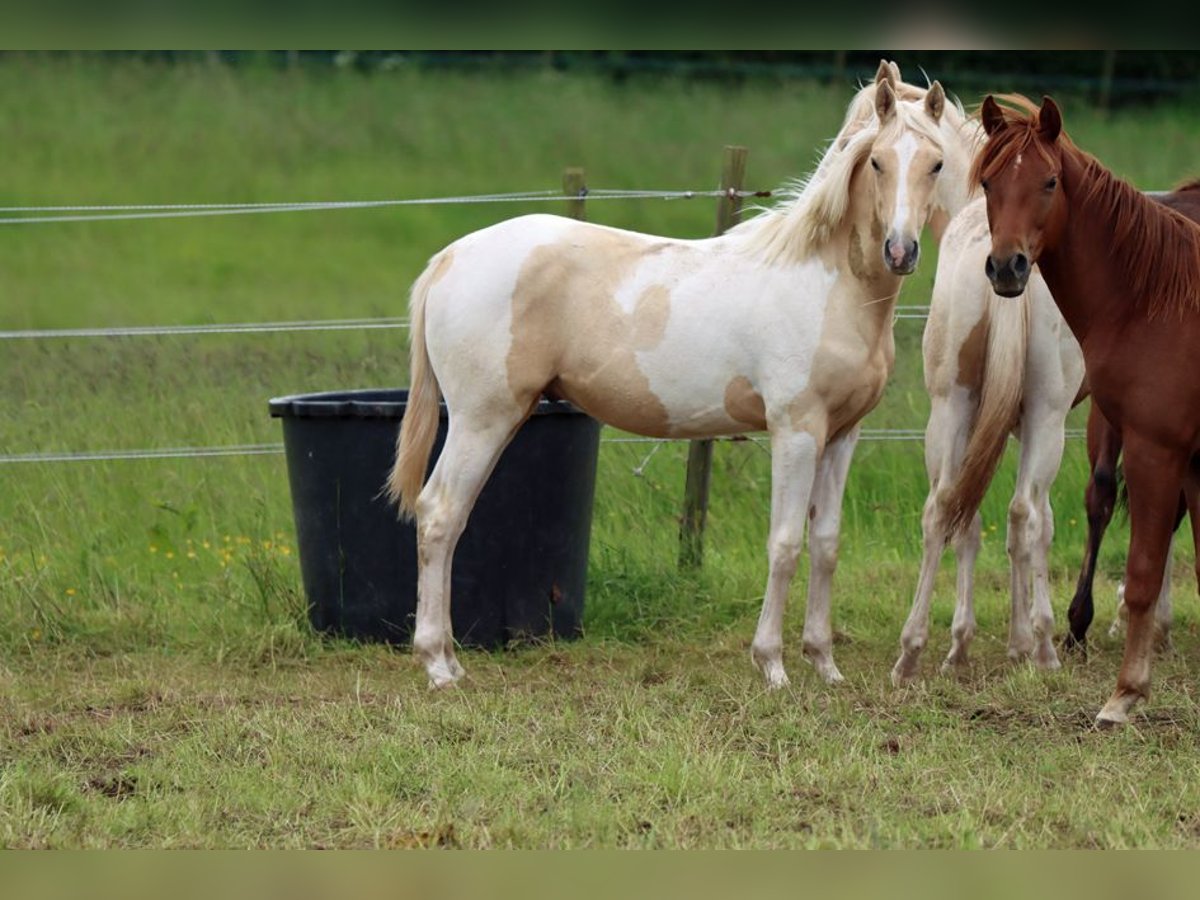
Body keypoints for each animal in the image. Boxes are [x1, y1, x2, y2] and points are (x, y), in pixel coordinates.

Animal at [388, 63, 969, 686]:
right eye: (879, 161)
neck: (825, 281)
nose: (901, 251)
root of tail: (450, 258)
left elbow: (826, 544)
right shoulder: (796, 430)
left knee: (447, 518)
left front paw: (825, 664)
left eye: (936, 163)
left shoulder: (841, 434)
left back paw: (449, 659)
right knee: (440, 515)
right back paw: (439, 665)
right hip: (481, 419)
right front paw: (773, 666)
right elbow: (785, 544)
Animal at [974, 93, 1200, 724]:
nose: (1007, 267)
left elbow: (1144, 572)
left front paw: (1126, 694)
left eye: (1049, 181)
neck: (1156, 300)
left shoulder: (1156, 450)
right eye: (988, 182)